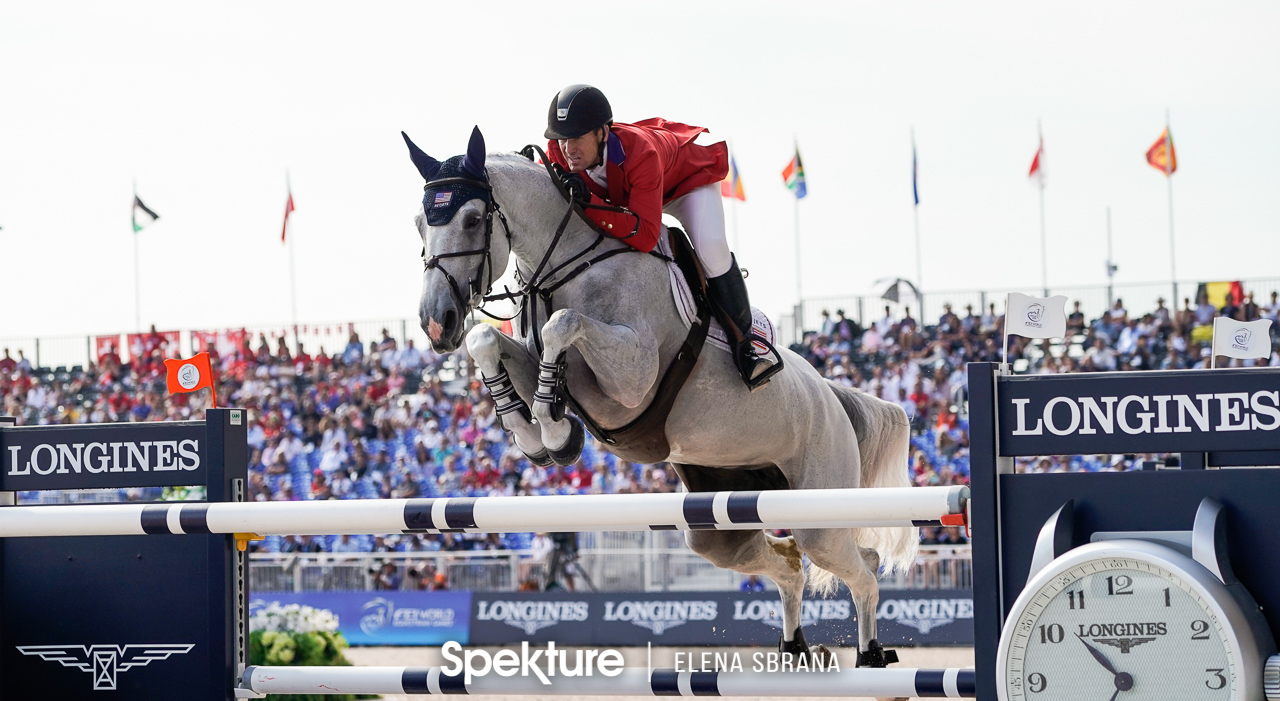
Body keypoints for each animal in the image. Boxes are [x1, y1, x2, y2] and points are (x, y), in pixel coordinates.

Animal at [404, 126, 916, 670]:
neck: (568, 266)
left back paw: (871, 654)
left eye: (472, 219)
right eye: (419, 224)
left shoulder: (629, 380)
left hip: (818, 506)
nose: (436, 324)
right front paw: (536, 437)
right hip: (722, 520)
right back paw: (796, 649)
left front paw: (555, 430)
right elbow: (486, 339)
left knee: (859, 567)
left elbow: (563, 323)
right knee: (793, 564)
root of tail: (833, 396)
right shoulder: (537, 358)